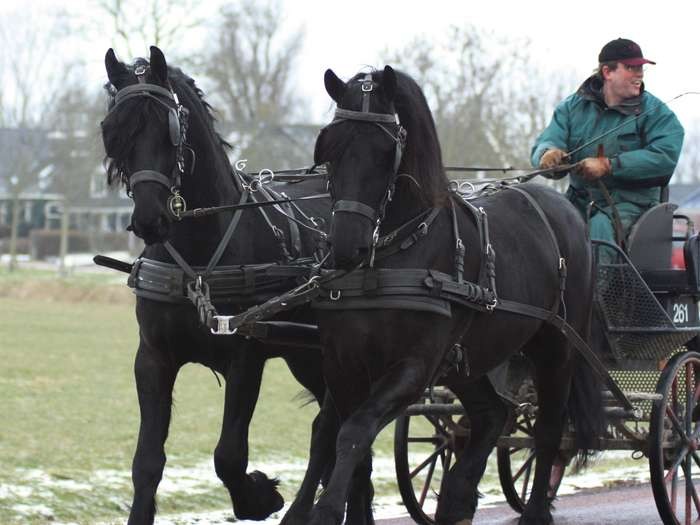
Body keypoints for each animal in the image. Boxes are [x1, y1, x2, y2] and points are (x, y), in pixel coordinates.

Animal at [100, 46, 330, 524]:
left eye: (170, 129)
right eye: (112, 130)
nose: (150, 219)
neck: (200, 259)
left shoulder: (246, 358)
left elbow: (229, 455)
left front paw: (259, 496)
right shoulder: (153, 357)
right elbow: (146, 461)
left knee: (332, 427)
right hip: (304, 356)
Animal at [282, 66, 604, 524]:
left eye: (386, 151)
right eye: (330, 146)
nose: (345, 245)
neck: (389, 258)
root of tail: (566, 213)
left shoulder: (413, 368)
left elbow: (354, 432)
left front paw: (326, 510)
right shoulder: (342, 364)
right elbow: (338, 437)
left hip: (557, 348)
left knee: (547, 430)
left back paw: (533, 509)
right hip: (466, 361)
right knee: (493, 415)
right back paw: (457, 495)